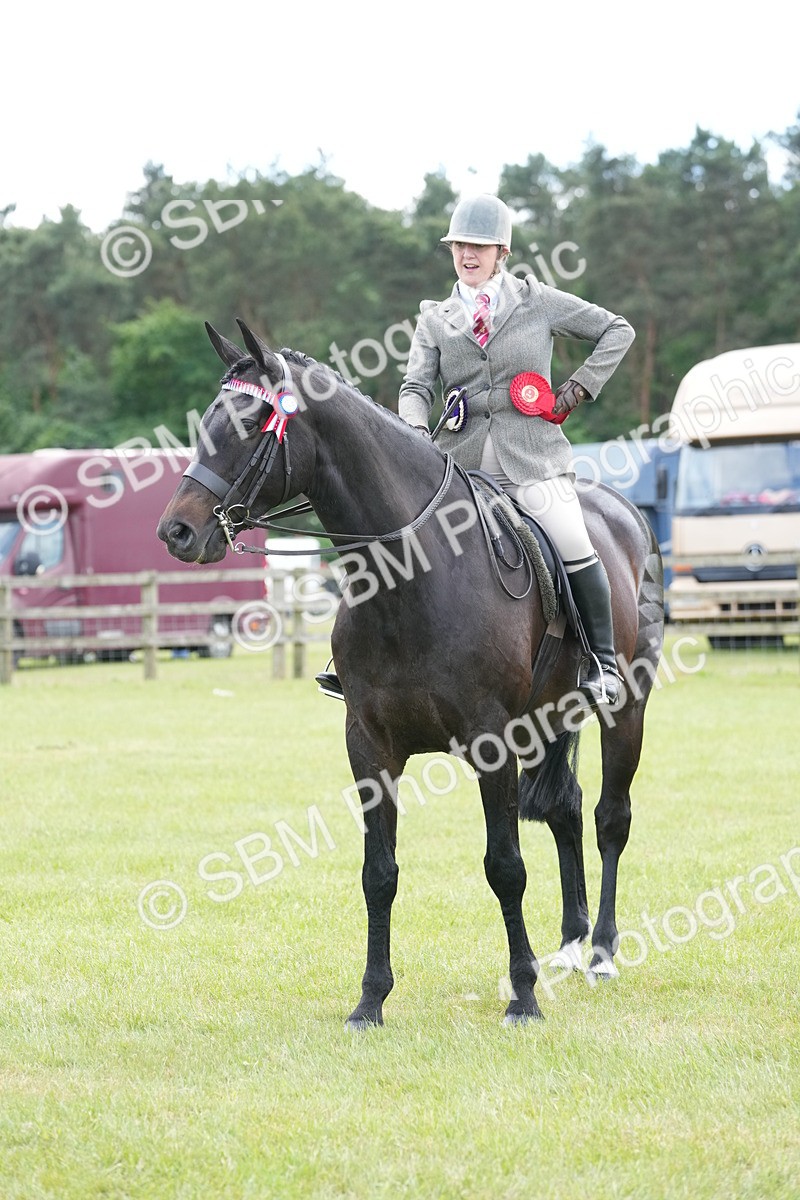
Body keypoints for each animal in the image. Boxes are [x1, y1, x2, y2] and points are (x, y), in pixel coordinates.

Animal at [157, 319, 665, 1029]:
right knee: (564, 812)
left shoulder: (490, 741)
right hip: (546, 720)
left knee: (609, 818)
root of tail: (622, 510)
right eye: (207, 421)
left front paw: (523, 997)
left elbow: (505, 866)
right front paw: (370, 1000)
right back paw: (569, 945)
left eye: (255, 420)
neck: (410, 570)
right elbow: (380, 873)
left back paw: (601, 954)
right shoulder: (369, 744)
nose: (177, 531)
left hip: (626, 709)